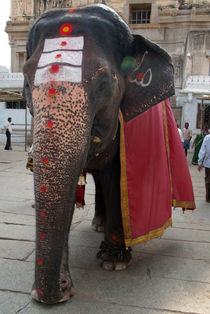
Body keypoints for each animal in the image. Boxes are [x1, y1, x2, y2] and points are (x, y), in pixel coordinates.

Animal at [22, 4, 174, 304]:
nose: (59, 287)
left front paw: (113, 262)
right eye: (26, 80)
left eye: (104, 83)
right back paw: (97, 225)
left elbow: (116, 177)